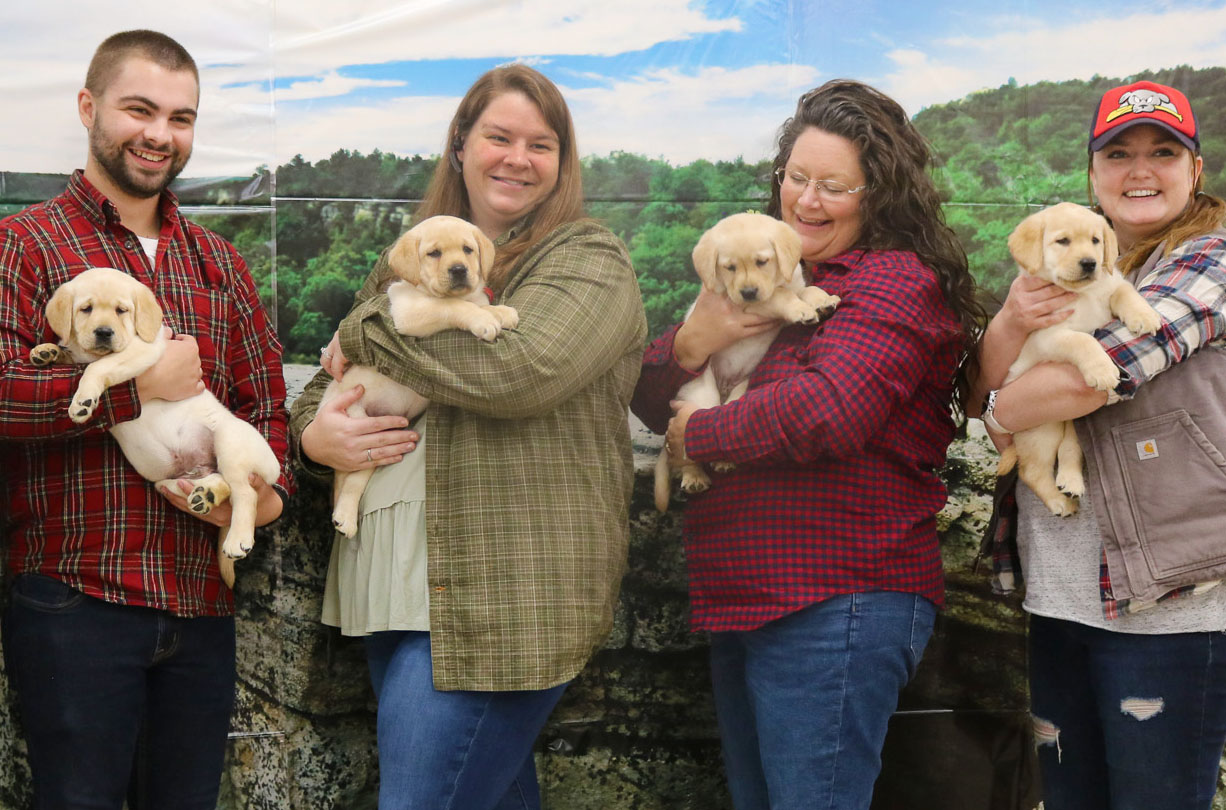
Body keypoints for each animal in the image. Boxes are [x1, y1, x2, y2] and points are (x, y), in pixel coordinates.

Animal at [29, 268, 280, 583]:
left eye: (121, 311)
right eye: (85, 309)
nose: (104, 332)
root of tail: (274, 469)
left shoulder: (143, 349)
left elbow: (96, 367)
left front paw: (82, 401)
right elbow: (72, 353)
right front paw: (47, 351)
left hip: (229, 441)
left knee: (244, 492)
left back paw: (236, 538)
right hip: (170, 481)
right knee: (220, 483)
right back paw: (206, 495)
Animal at [318, 214, 514, 536]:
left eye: (468, 250)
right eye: (434, 253)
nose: (459, 269)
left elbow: (480, 303)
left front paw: (502, 312)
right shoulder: (410, 312)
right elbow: (455, 305)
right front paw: (483, 319)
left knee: (353, 480)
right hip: (361, 428)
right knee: (349, 482)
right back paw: (344, 518)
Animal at [657, 211, 838, 509]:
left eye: (762, 262)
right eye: (729, 267)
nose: (749, 292)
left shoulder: (792, 282)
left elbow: (807, 288)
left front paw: (823, 301)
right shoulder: (746, 305)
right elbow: (780, 296)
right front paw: (801, 310)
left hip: (740, 392)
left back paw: (723, 461)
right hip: (701, 396)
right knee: (689, 445)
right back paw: (695, 478)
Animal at [995, 203, 1157, 517]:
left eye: (1095, 241)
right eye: (1063, 241)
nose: (1090, 263)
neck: (1081, 294)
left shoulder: (1111, 284)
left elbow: (1124, 291)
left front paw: (1145, 315)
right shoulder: (1049, 335)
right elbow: (1084, 340)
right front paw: (1103, 370)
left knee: (1069, 449)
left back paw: (1070, 482)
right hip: (1043, 427)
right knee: (1031, 471)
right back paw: (1061, 501)